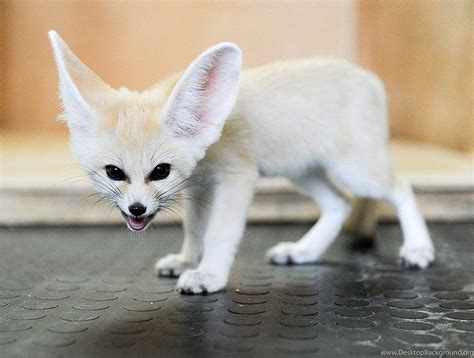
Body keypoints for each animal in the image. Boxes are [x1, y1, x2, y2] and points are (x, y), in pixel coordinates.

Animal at [49, 30, 434, 294]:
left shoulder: (237, 177)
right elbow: (195, 228)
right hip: (300, 171)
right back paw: (303, 250)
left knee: (402, 188)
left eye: (160, 171)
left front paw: (209, 274)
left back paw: (418, 247)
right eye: (115, 172)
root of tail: (369, 76)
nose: (137, 210)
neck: (209, 139)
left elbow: (219, 232)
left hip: (355, 171)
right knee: (339, 203)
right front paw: (187, 260)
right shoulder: (199, 185)